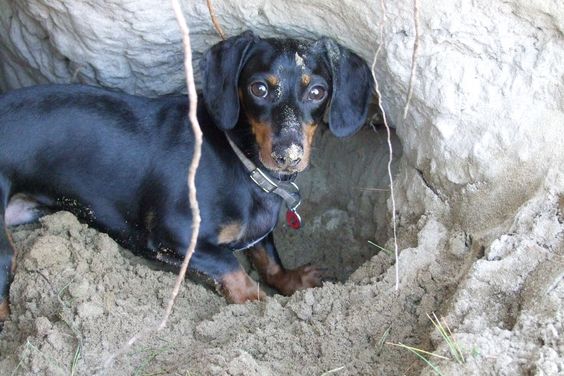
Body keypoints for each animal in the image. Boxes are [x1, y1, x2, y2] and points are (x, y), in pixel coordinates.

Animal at [0, 30, 372, 318]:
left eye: (317, 91)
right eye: (259, 89)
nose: (288, 156)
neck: (242, 163)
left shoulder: (259, 232)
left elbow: (269, 259)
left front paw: (295, 280)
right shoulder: (172, 236)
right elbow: (231, 266)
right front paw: (258, 303)